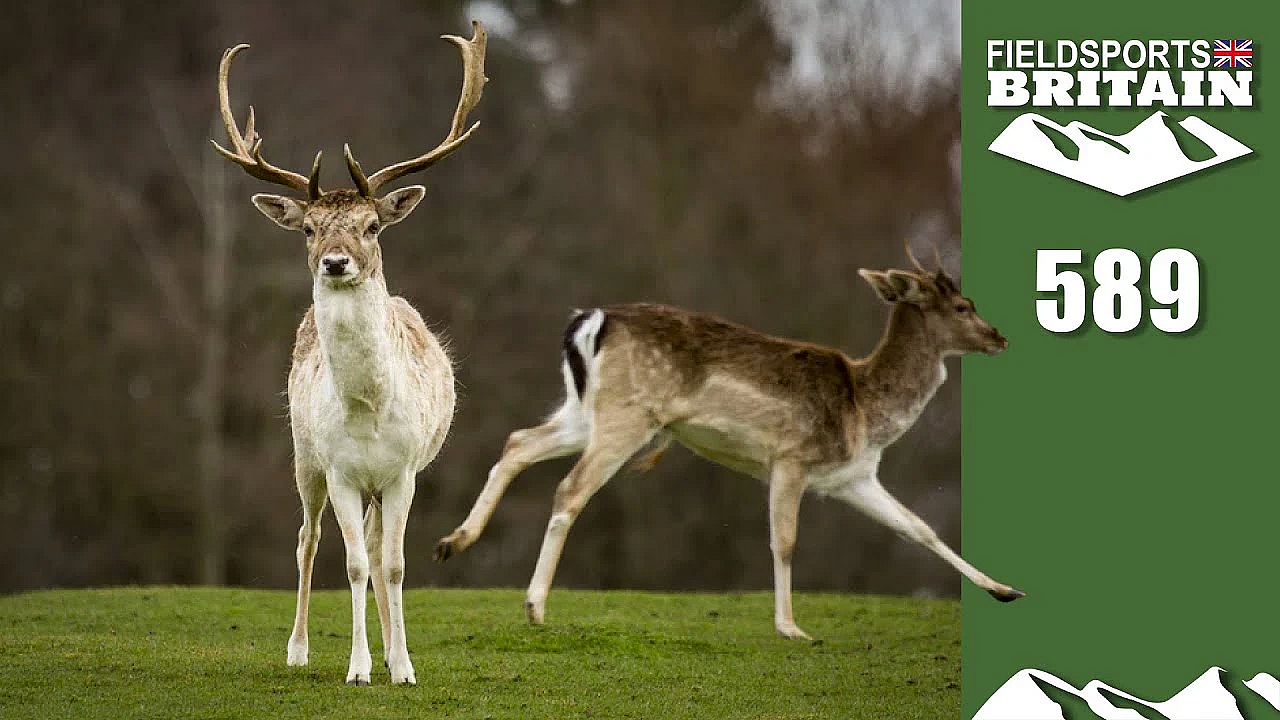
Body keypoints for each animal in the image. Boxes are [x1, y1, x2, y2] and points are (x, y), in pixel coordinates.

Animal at [210, 22, 487, 684]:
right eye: (310, 228)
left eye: (372, 226)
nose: (335, 262)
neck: (366, 411)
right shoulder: (338, 468)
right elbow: (355, 565)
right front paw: (358, 668)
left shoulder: (405, 470)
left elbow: (394, 566)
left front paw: (403, 666)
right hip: (303, 456)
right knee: (308, 541)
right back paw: (299, 649)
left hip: (378, 484)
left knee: (374, 544)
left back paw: (389, 649)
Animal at [434, 243, 1025, 640]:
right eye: (964, 306)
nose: (999, 337)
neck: (865, 410)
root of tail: (589, 319)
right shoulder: (791, 459)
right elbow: (784, 540)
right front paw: (791, 628)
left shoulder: (853, 477)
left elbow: (918, 528)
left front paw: (1006, 590)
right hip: (630, 414)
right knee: (569, 489)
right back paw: (534, 605)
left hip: (584, 411)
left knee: (518, 442)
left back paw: (453, 542)